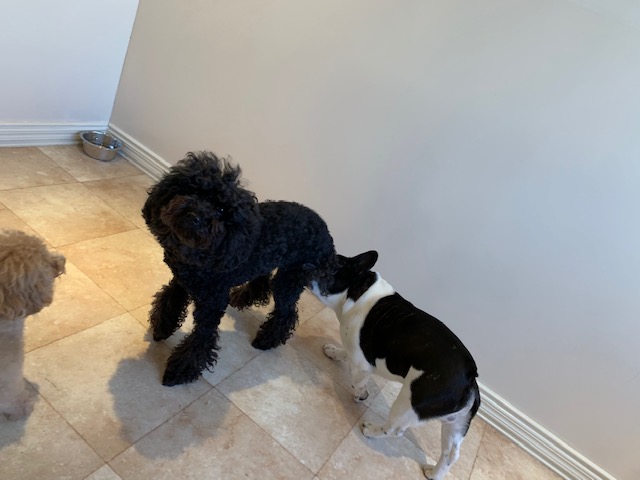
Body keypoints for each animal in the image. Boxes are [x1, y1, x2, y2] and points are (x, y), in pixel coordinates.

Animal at [142, 151, 338, 386]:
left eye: (221, 209)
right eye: (193, 190)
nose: (194, 216)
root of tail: (328, 235)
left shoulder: (212, 303)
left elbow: (201, 339)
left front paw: (179, 371)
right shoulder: (181, 281)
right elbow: (170, 300)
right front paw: (162, 328)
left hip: (290, 278)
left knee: (287, 312)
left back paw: (267, 339)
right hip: (272, 262)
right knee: (262, 281)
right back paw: (242, 298)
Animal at [309, 251, 480, 480]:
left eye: (327, 269)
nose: (306, 265)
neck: (358, 290)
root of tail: (470, 377)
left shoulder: (362, 362)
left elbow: (358, 380)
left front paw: (360, 394)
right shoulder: (357, 349)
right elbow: (346, 352)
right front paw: (334, 352)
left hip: (408, 403)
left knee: (394, 430)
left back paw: (370, 430)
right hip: (456, 424)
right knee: (451, 453)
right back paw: (434, 473)